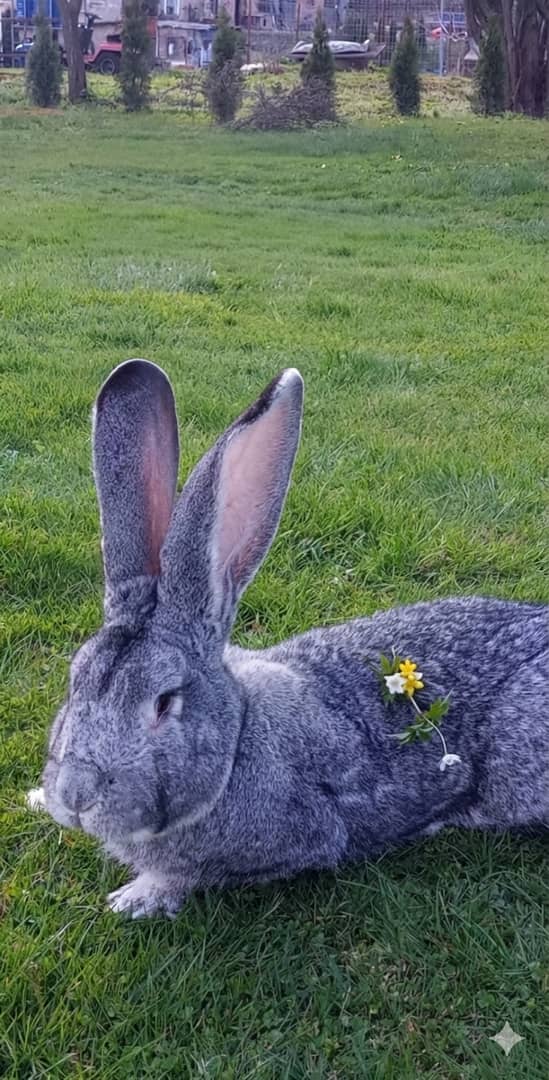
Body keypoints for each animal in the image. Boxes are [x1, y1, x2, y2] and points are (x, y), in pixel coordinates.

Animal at [29, 359, 548, 918]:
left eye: (164, 702)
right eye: (74, 681)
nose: (77, 796)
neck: (238, 735)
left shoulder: (295, 841)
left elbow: (192, 874)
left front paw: (137, 897)